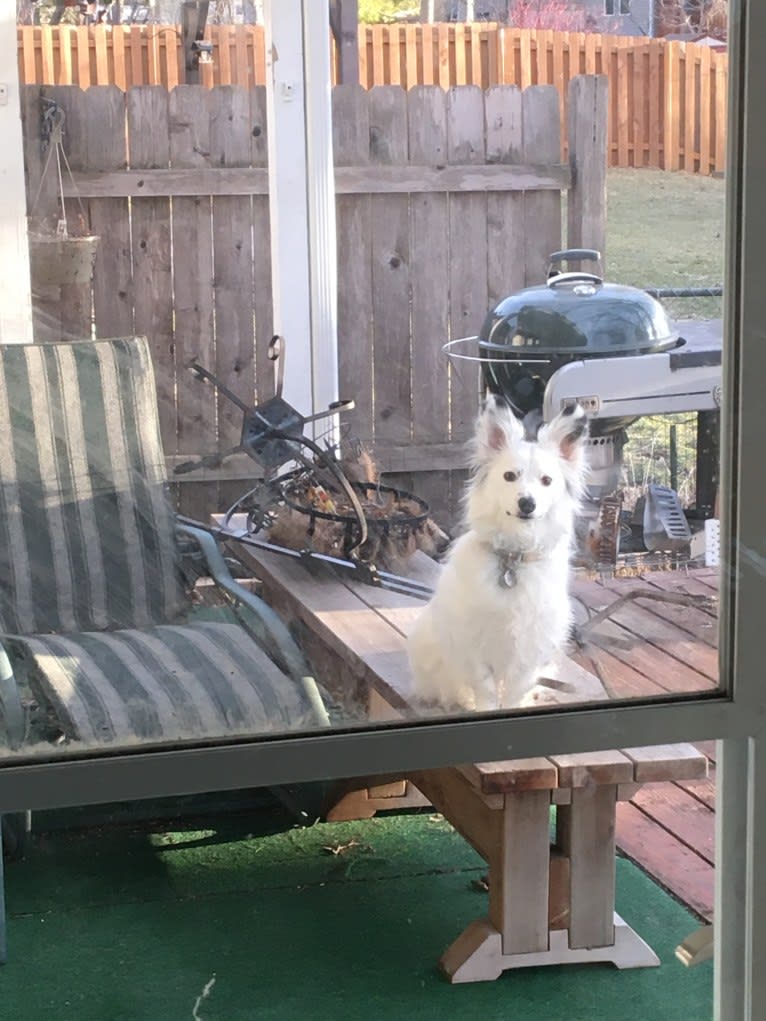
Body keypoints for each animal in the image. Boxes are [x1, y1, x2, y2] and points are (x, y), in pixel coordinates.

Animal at [410, 394, 592, 714]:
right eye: (509, 476)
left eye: (546, 481)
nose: (527, 503)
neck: (513, 557)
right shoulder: (473, 644)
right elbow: (484, 690)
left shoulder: (529, 650)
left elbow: (515, 691)